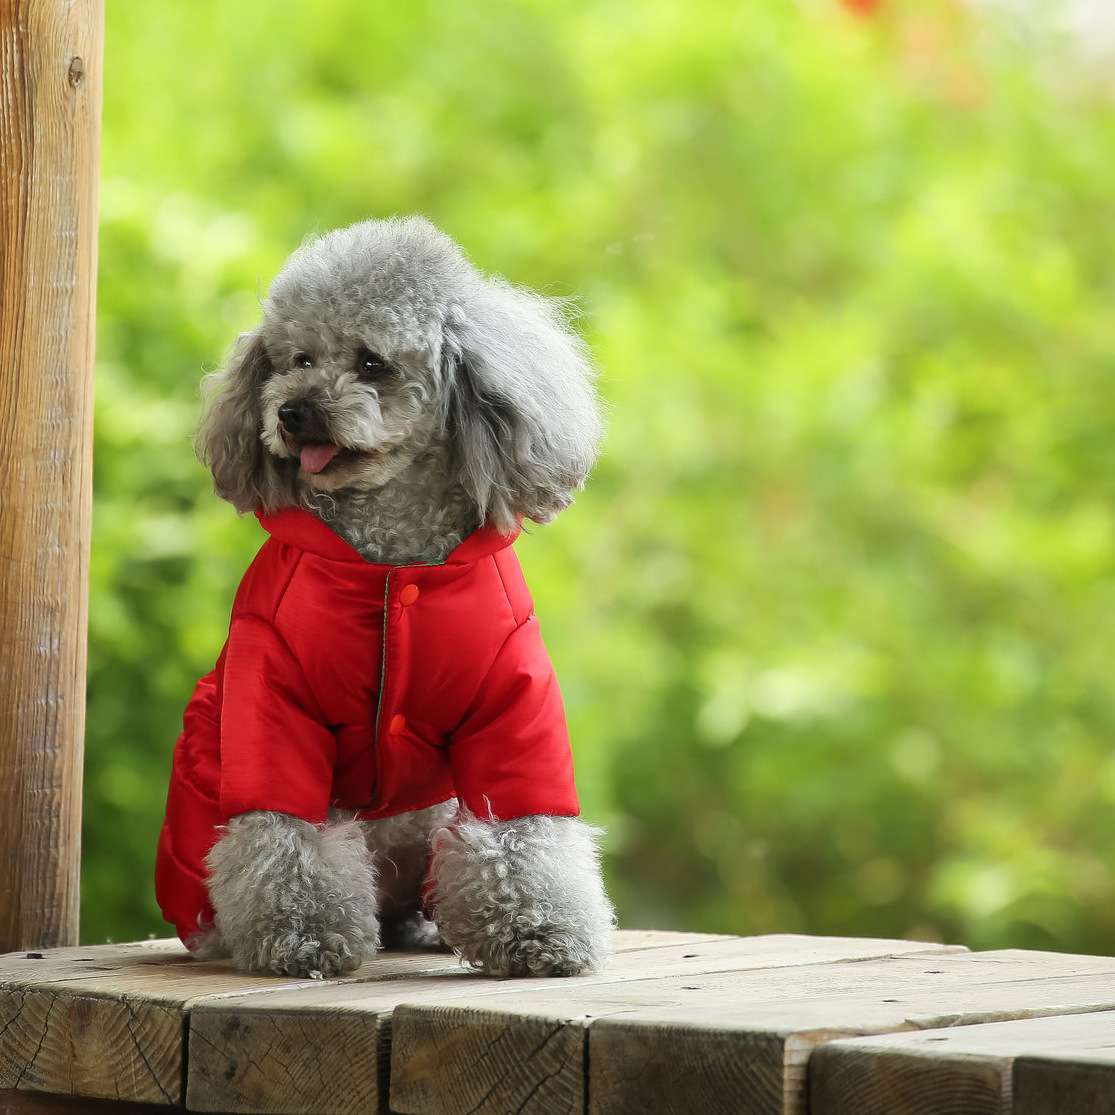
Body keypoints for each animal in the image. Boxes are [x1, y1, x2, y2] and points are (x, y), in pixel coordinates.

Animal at [152, 215, 615, 976]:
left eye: (372, 363)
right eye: (296, 358)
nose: (292, 412)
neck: (393, 563)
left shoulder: (514, 705)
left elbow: (521, 828)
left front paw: (542, 933)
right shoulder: (270, 703)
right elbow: (284, 833)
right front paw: (303, 936)